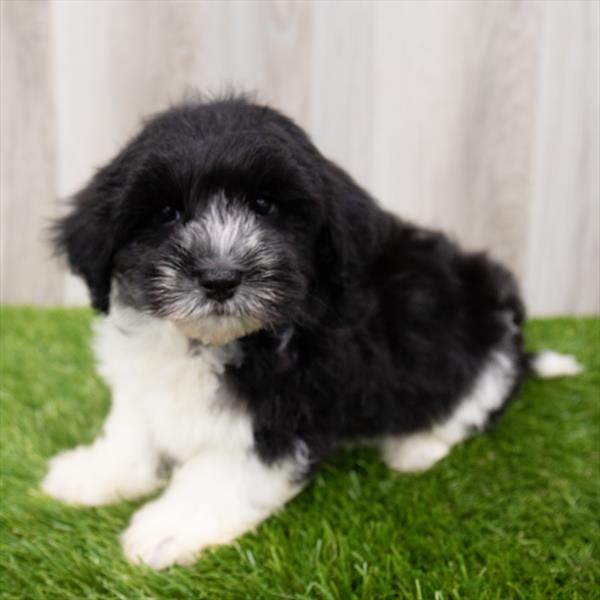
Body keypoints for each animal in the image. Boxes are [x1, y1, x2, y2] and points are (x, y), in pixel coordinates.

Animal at [41, 94, 580, 568]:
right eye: (166, 214)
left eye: (264, 205)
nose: (220, 277)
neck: (213, 343)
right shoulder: (145, 378)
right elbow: (134, 428)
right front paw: (96, 472)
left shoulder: (285, 413)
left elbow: (221, 471)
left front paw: (167, 529)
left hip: (482, 346)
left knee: (471, 402)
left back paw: (415, 446)